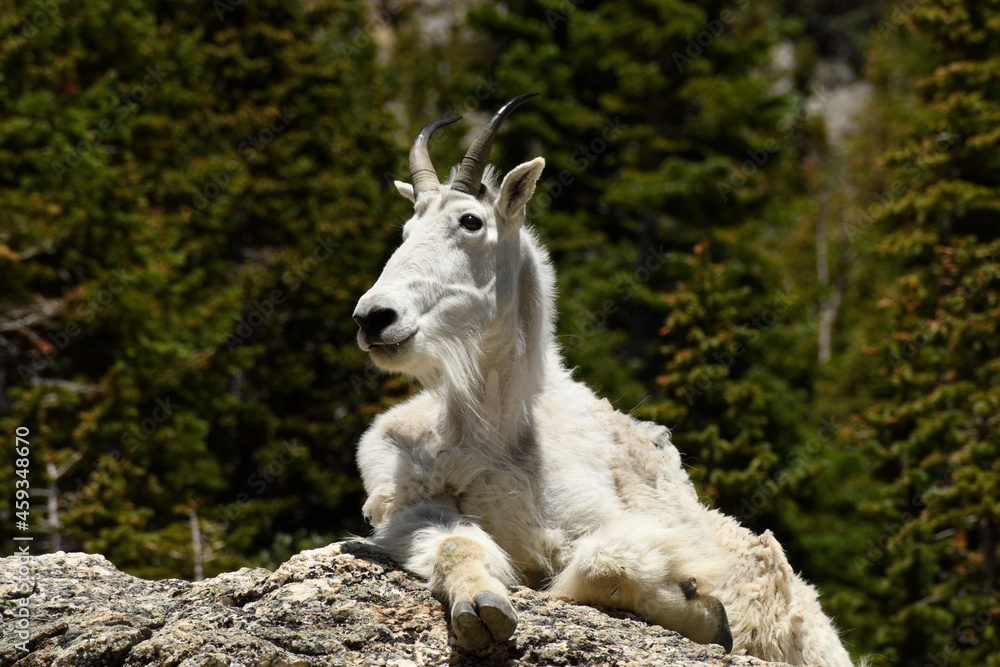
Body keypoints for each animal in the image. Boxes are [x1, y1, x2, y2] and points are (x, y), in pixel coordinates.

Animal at [353, 94, 855, 667]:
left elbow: (601, 566)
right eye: (405, 232)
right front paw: (481, 609)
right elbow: (457, 544)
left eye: (471, 221)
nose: (373, 318)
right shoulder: (408, 505)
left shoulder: (609, 523)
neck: (495, 432)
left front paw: (704, 612)